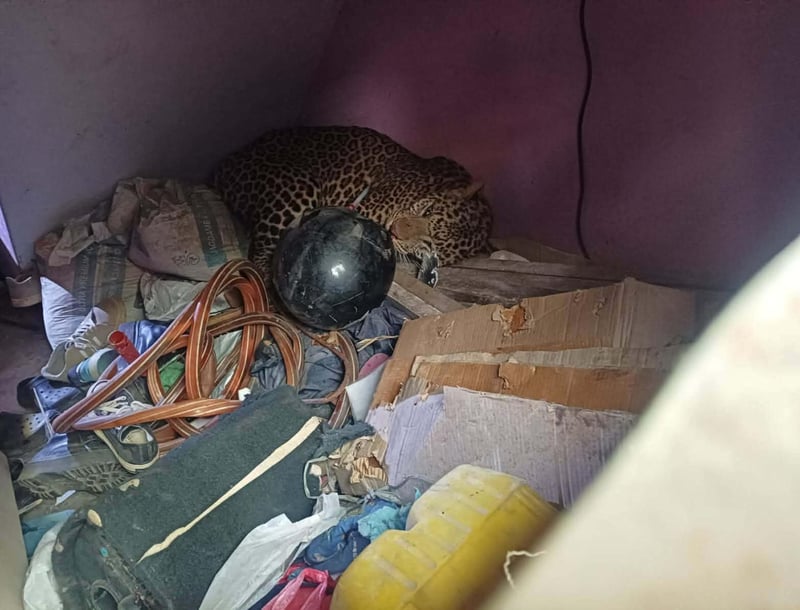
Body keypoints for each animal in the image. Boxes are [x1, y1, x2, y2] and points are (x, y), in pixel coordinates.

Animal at [212, 126, 492, 285]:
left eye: (428, 244)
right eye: (427, 210)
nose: (393, 229)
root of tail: (225, 163)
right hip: (298, 187)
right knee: (259, 258)